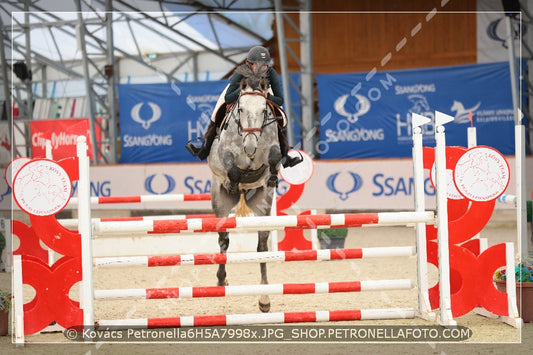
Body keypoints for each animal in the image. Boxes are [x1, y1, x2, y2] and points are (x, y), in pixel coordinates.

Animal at [207, 65, 282, 312]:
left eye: (264, 110)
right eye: (240, 109)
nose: (249, 147)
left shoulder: (272, 148)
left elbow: (274, 157)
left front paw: (270, 175)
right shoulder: (225, 154)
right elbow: (233, 167)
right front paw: (236, 179)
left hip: (262, 205)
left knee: (262, 246)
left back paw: (265, 299)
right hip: (220, 204)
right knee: (223, 240)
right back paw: (221, 281)